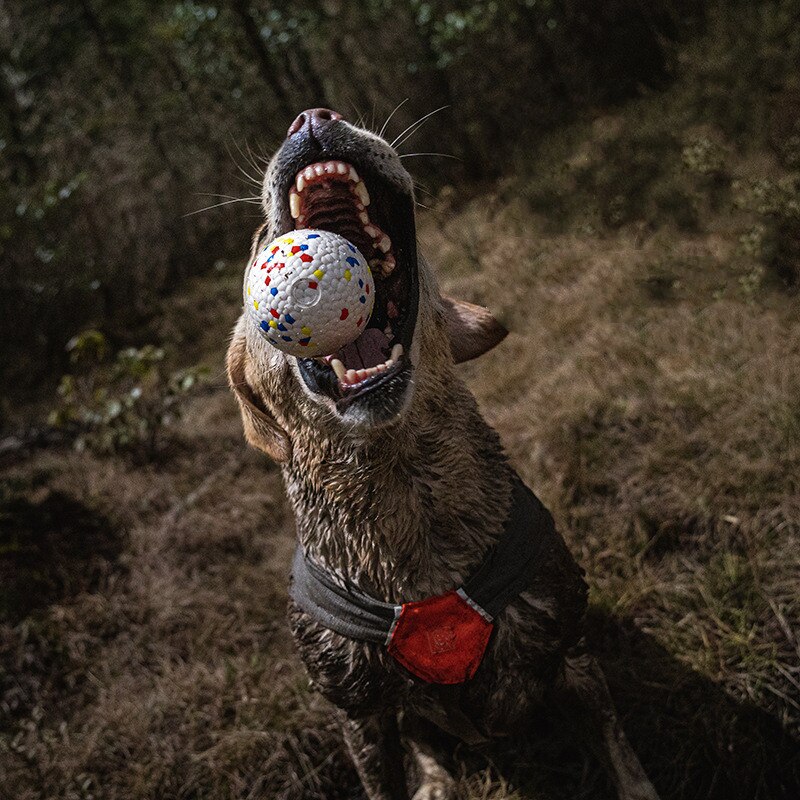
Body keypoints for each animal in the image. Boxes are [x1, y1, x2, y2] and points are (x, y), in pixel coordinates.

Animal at [225, 108, 656, 800]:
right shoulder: (358, 710)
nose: (313, 117)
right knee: (423, 739)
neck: (405, 490)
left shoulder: (571, 642)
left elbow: (618, 747)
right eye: (259, 239)